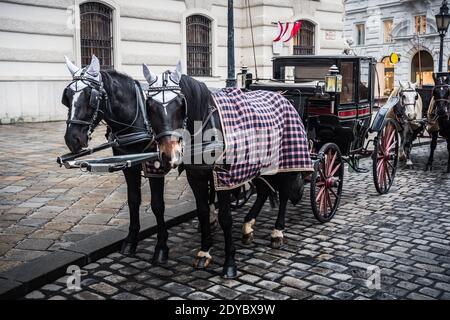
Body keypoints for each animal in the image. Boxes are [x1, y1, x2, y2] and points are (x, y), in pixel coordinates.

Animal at [61, 55, 169, 264]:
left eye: (91, 96)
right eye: (67, 97)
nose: (72, 139)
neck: (137, 117)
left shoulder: (156, 165)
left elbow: (157, 205)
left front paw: (161, 246)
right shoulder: (127, 165)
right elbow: (133, 200)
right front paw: (130, 240)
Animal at [142, 62, 306, 278]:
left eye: (180, 104)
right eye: (150, 106)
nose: (170, 155)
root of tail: (282, 95)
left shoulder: (224, 177)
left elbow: (225, 218)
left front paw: (229, 263)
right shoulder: (196, 177)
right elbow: (203, 212)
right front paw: (204, 251)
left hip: (284, 160)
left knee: (285, 192)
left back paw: (277, 232)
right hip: (260, 164)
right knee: (263, 191)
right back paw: (248, 226)